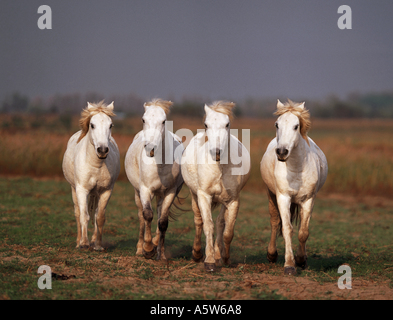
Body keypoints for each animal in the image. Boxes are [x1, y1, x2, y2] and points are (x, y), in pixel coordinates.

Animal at [62, 101, 120, 251]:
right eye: (92, 125)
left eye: (110, 125)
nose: (102, 150)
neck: (96, 165)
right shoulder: (82, 190)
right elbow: (84, 216)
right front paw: (83, 243)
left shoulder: (106, 191)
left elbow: (99, 217)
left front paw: (98, 245)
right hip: (74, 190)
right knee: (78, 213)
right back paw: (78, 241)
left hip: (96, 193)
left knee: (95, 213)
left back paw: (93, 241)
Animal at [125, 99, 185, 262]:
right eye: (143, 119)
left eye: (163, 121)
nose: (150, 148)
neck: (160, 164)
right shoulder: (145, 190)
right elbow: (147, 215)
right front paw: (147, 250)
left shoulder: (170, 192)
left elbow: (163, 222)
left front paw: (160, 253)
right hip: (137, 192)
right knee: (141, 217)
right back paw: (140, 249)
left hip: (161, 195)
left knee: (159, 215)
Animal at [180, 101, 248, 272]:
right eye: (206, 124)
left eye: (227, 124)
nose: (216, 152)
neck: (220, 167)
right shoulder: (204, 196)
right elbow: (208, 226)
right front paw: (209, 261)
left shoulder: (233, 200)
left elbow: (228, 231)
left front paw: (224, 258)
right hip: (194, 195)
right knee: (199, 221)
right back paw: (197, 253)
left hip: (224, 201)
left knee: (220, 222)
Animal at [260, 100, 328, 276]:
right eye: (277, 124)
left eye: (296, 126)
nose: (282, 152)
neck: (297, 168)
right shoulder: (283, 197)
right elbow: (287, 229)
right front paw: (289, 265)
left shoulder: (308, 200)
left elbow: (303, 232)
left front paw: (301, 260)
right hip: (271, 195)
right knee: (275, 221)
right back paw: (271, 255)